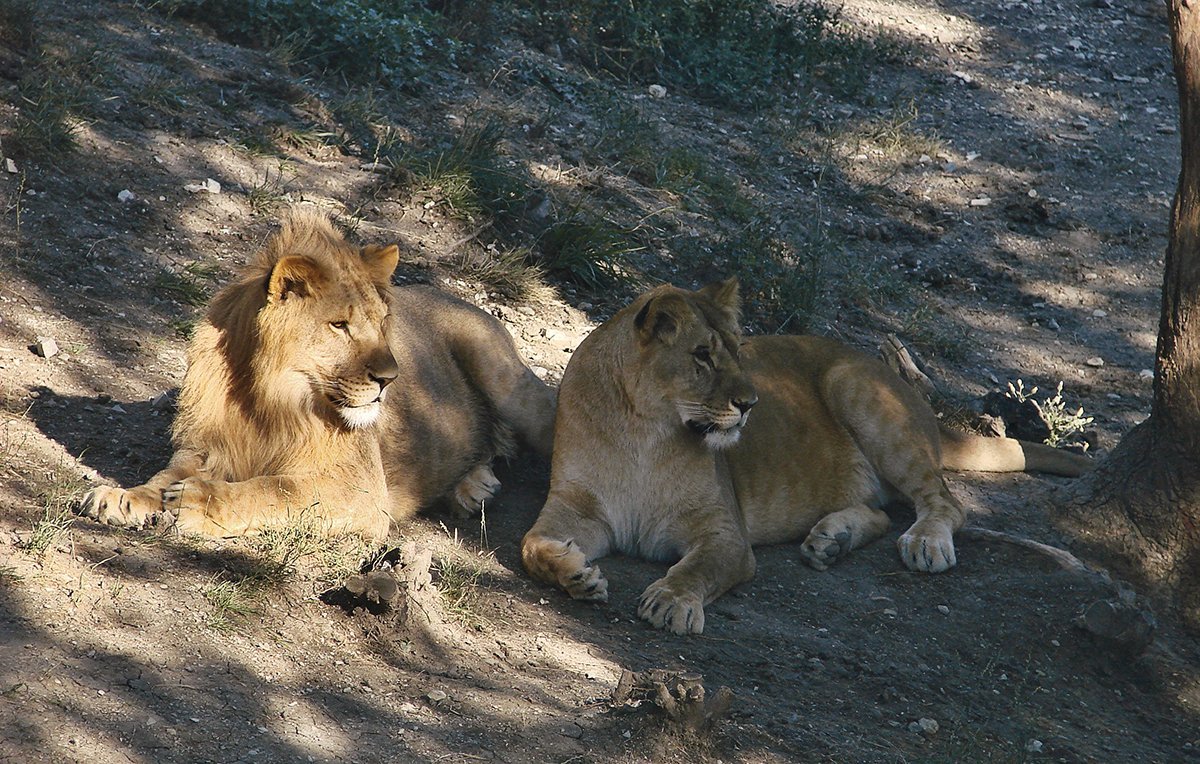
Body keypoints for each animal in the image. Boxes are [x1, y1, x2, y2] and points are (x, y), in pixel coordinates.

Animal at [79, 211, 556, 539]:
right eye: (339, 325)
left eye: (382, 321)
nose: (391, 379)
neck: (264, 398)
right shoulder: (205, 446)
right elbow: (164, 475)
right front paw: (124, 496)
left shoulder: (361, 488)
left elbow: (275, 489)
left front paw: (200, 501)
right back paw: (473, 486)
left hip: (508, 382)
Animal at [520, 278, 1094, 633]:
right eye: (702, 356)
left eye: (738, 349)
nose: (750, 404)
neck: (642, 430)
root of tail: (923, 407)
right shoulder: (573, 508)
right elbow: (531, 545)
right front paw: (575, 573)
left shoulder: (724, 533)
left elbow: (698, 568)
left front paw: (670, 601)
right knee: (883, 513)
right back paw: (831, 541)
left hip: (854, 386)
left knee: (944, 503)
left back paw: (925, 544)